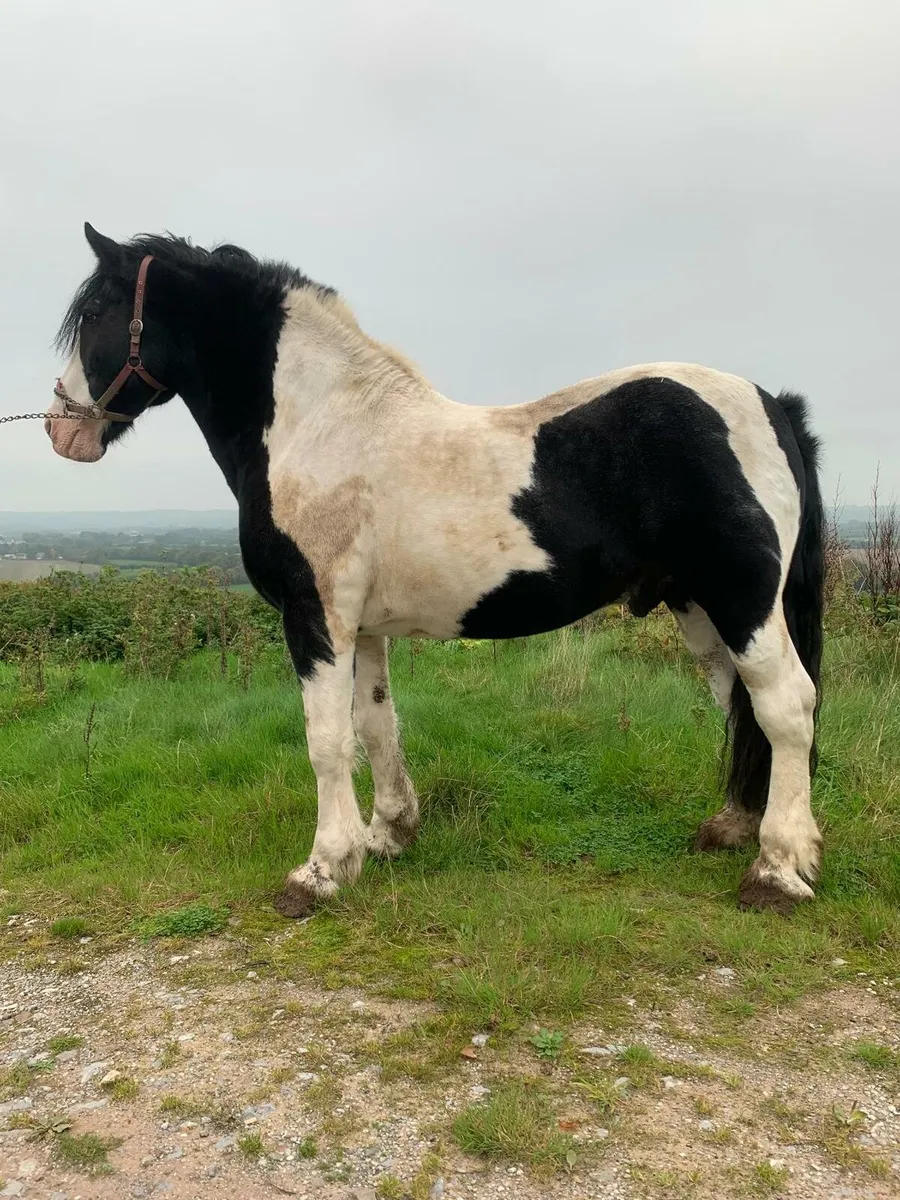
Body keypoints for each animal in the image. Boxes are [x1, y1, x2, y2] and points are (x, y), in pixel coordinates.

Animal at [48, 223, 825, 918]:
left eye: (96, 312)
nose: (61, 430)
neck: (320, 424)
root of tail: (772, 405)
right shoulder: (362, 626)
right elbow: (374, 725)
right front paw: (387, 836)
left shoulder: (314, 616)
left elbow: (325, 740)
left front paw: (320, 872)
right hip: (700, 609)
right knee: (741, 705)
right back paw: (734, 829)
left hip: (744, 602)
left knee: (786, 706)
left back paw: (776, 871)